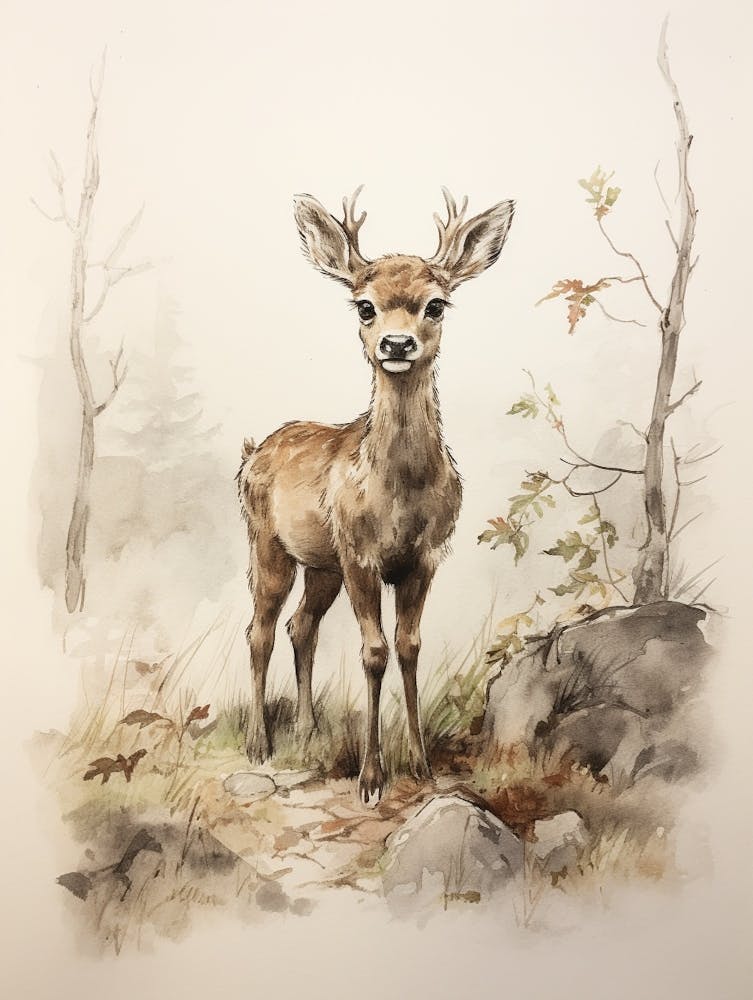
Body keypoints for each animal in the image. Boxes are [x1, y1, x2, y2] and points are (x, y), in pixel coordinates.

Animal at [237, 186, 514, 804]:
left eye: (436, 305)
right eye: (364, 306)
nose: (396, 342)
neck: (399, 496)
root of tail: (251, 452)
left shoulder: (425, 557)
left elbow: (409, 646)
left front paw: (423, 765)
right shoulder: (361, 554)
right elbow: (374, 652)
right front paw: (371, 777)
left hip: (323, 565)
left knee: (300, 627)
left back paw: (307, 730)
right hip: (267, 545)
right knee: (260, 630)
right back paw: (259, 743)